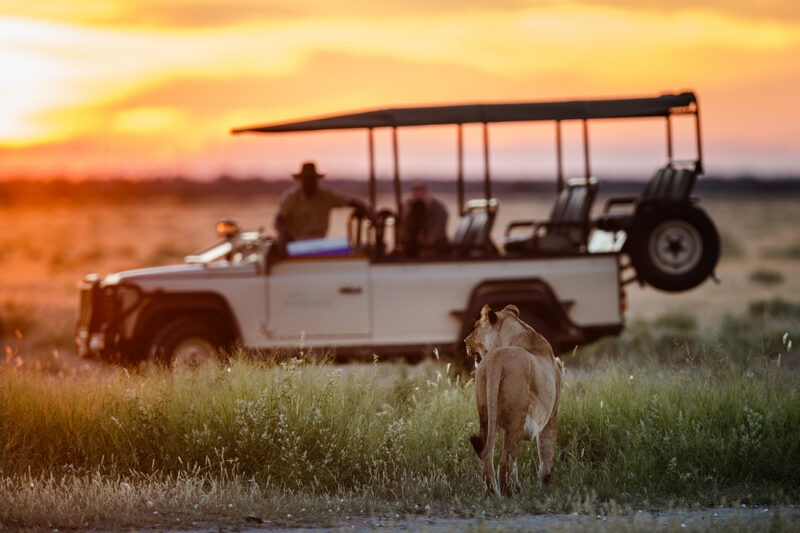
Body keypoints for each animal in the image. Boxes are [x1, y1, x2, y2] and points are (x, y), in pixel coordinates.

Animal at [464, 304, 564, 496]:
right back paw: (510, 495)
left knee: (488, 459)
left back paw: (494, 493)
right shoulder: (552, 415)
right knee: (506, 462)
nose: (465, 341)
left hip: (487, 416)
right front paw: (546, 488)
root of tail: (496, 359)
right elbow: (546, 453)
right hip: (516, 417)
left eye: (475, 327)